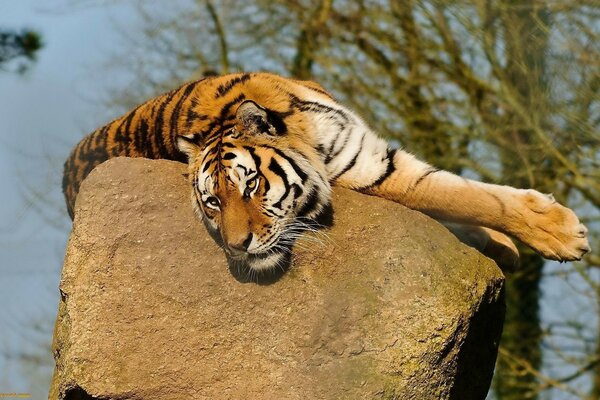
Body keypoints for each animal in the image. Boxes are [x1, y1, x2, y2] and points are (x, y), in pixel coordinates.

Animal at [62, 72, 592, 272]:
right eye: (212, 202)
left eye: (251, 185)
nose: (237, 247)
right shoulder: (378, 174)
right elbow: (462, 197)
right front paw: (563, 235)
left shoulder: (372, 156)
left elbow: (466, 196)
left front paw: (514, 242)